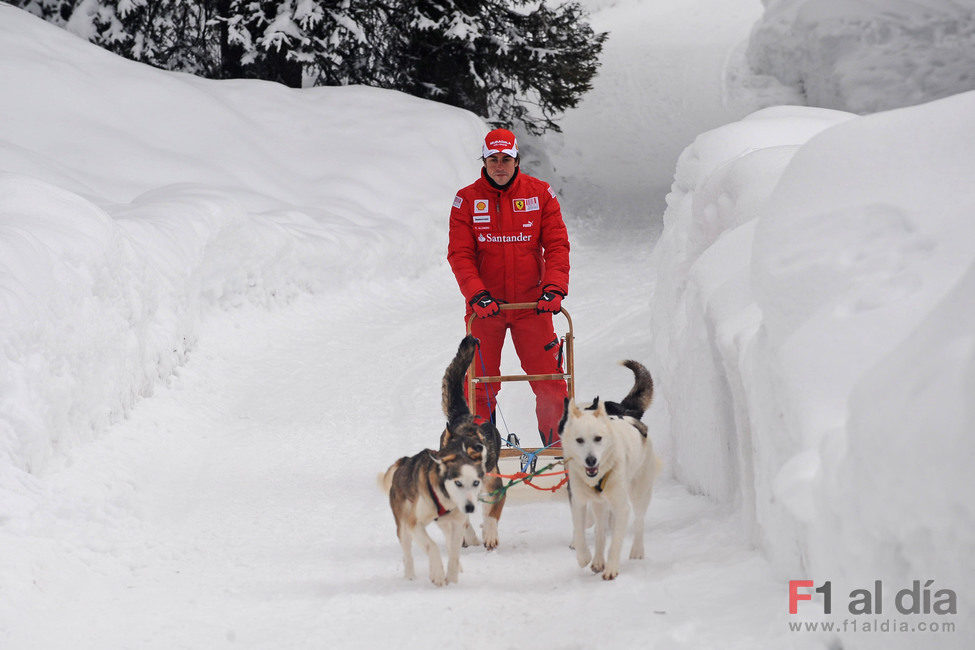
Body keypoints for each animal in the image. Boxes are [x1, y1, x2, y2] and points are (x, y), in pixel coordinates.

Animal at [560, 360, 660, 576]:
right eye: (579, 440)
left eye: (598, 438)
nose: (590, 460)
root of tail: (632, 419)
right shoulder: (579, 499)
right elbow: (580, 528)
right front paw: (584, 556)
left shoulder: (621, 506)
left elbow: (615, 541)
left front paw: (612, 568)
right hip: (601, 504)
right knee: (599, 529)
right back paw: (598, 559)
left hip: (639, 492)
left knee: (638, 520)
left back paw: (636, 550)